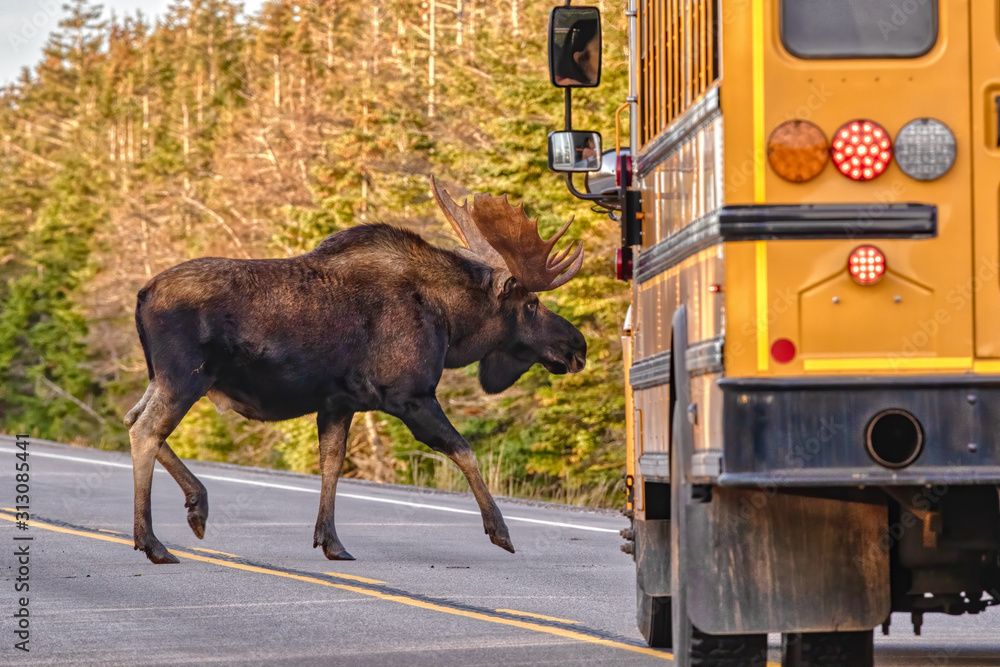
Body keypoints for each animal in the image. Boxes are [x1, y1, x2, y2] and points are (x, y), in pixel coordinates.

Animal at [122, 177, 584, 564]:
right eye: (531, 305)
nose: (577, 346)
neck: (451, 324)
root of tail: (141, 295)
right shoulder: (410, 397)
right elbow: (464, 450)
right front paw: (500, 531)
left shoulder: (338, 404)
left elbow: (331, 464)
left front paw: (331, 541)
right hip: (186, 377)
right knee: (145, 430)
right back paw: (152, 541)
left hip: (162, 378)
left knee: (132, 418)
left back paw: (196, 504)